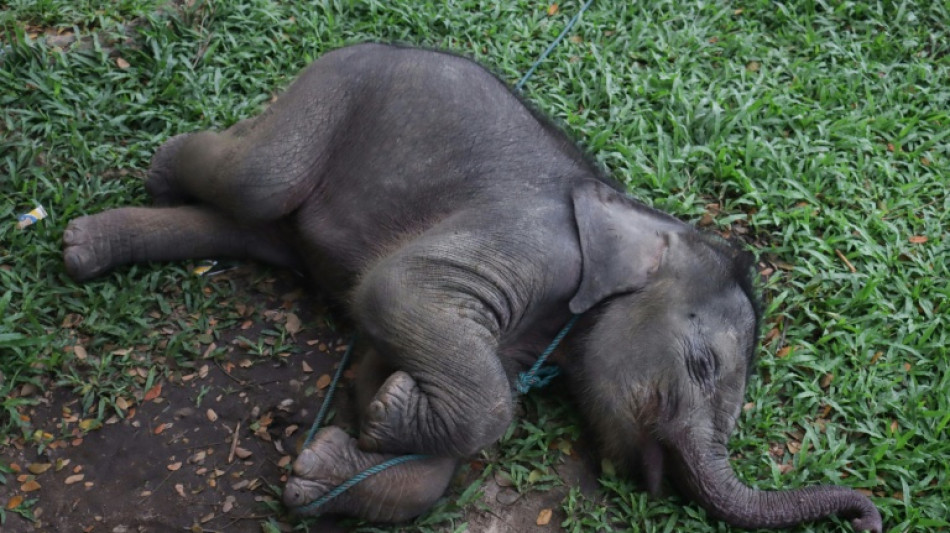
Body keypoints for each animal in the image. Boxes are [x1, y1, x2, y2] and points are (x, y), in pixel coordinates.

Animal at [63, 43, 882, 531]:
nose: (870, 518)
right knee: (258, 179)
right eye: (703, 364)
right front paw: (386, 416)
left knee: (245, 226)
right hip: (337, 87)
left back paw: (84, 246)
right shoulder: (531, 243)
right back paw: (157, 171)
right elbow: (401, 291)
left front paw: (331, 456)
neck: (641, 214)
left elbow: (391, 381)